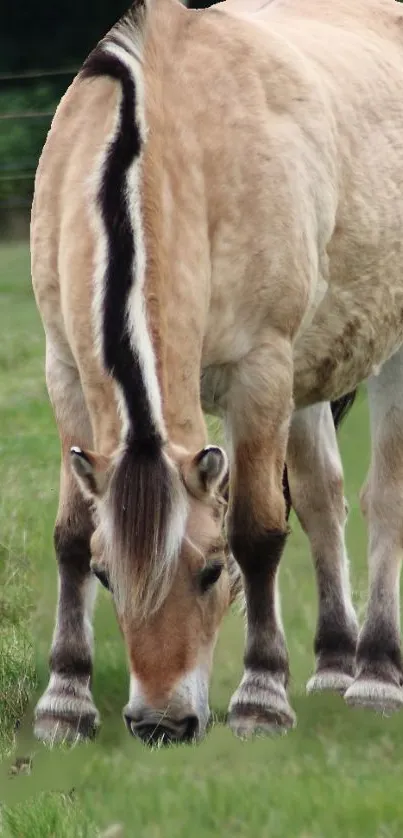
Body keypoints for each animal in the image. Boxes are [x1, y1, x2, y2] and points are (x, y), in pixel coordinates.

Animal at [30, 0, 403, 748]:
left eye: (208, 570)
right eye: (107, 577)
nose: (160, 724)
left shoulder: (259, 368)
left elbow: (258, 530)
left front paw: (261, 696)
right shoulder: (65, 370)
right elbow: (70, 534)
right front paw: (66, 700)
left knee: (385, 499)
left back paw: (375, 674)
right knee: (323, 498)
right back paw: (333, 664)